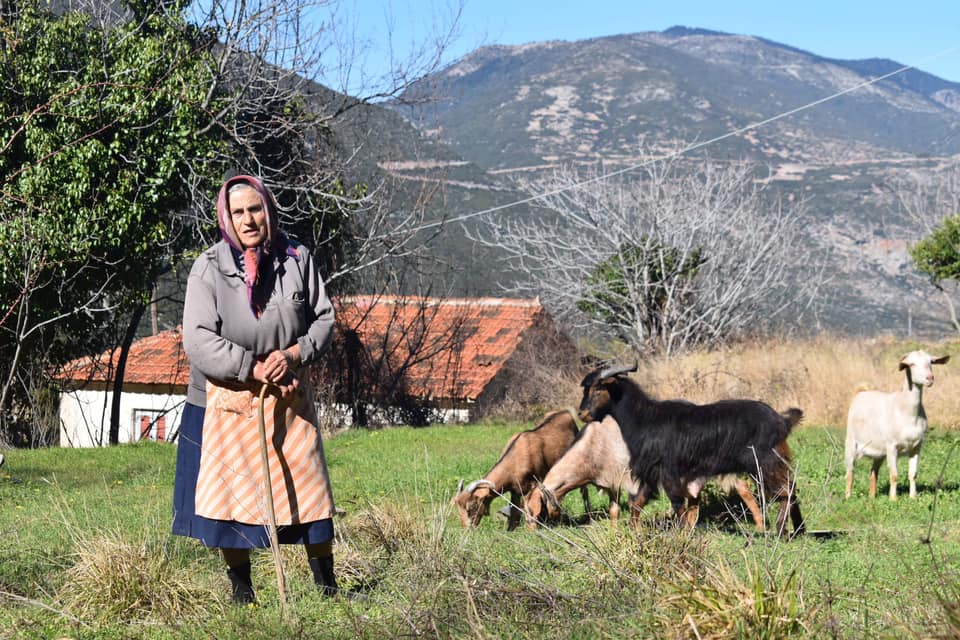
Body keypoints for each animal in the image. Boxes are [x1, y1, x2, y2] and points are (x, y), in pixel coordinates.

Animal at [452, 410, 584, 528]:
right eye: (458, 507)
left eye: (471, 506)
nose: (467, 528)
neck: (517, 457)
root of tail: (565, 412)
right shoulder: (515, 489)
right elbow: (514, 510)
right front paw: (511, 529)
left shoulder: (536, 482)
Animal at [580, 362, 808, 536]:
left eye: (598, 389)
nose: (582, 414)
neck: (643, 419)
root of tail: (781, 421)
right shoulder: (651, 472)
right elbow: (638, 502)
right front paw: (634, 532)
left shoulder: (667, 471)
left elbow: (677, 503)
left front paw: (681, 533)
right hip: (775, 461)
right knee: (791, 486)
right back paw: (799, 529)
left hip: (764, 463)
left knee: (785, 491)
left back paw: (781, 531)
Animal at [844, 350, 948, 500]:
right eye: (911, 364)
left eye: (931, 362)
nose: (930, 378)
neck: (906, 410)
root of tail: (861, 392)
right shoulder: (891, 445)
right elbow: (894, 475)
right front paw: (893, 499)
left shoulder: (916, 446)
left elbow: (913, 474)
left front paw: (913, 497)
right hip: (851, 441)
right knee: (850, 471)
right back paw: (848, 496)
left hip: (879, 451)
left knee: (873, 471)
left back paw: (872, 497)